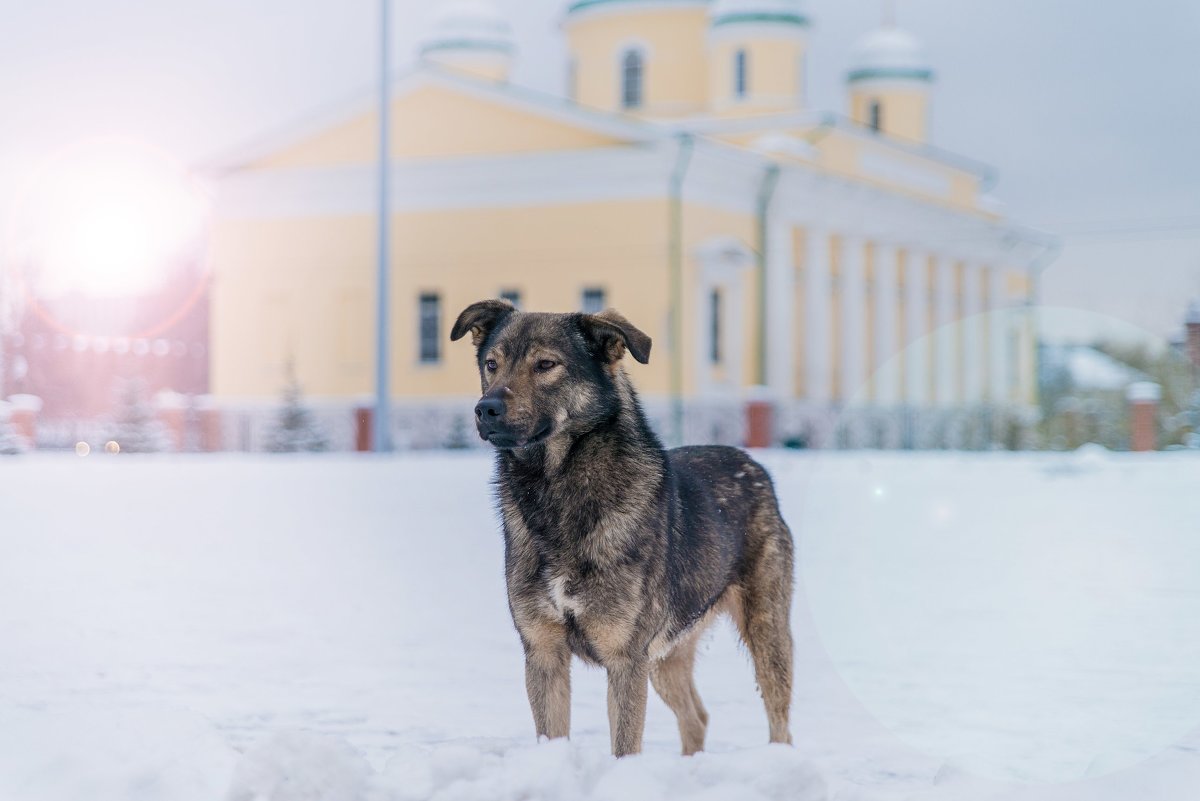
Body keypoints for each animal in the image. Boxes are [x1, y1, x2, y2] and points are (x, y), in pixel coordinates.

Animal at [451, 299, 796, 757]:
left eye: (546, 364)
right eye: (492, 363)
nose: (485, 409)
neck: (556, 490)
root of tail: (752, 464)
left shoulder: (625, 658)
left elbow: (624, 747)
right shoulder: (543, 652)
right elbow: (552, 735)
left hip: (766, 631)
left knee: (779, 722)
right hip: (667, 655)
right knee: (697, 717)